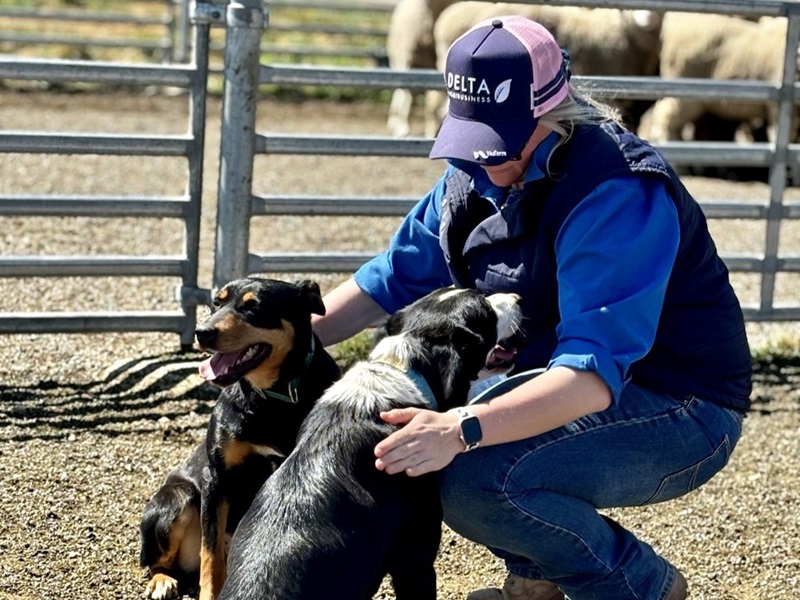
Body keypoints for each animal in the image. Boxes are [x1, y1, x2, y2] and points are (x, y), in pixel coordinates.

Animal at [139, 278, 340, 600]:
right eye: (216, 303)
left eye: (253, 306)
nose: (202, 332)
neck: (272, 396)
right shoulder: (216, 479)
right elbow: (210, 560)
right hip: (176, 501)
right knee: (158, 560)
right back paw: (162, 581)